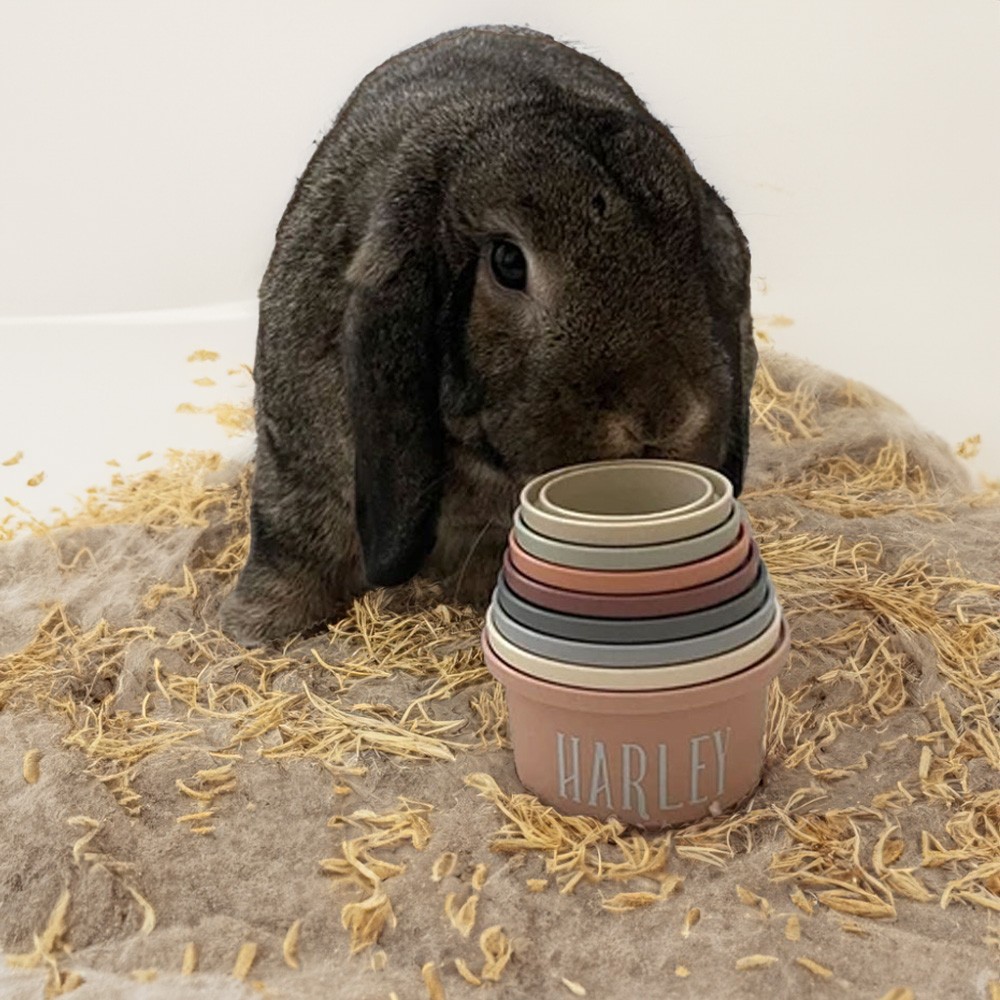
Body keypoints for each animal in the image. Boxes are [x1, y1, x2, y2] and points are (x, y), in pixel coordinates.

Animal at [217, 25, 752, 648]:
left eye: (695, 249)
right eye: (507, 262)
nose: (663, 416)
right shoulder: (296, 477)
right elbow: (293, 554)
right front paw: (254, 628)